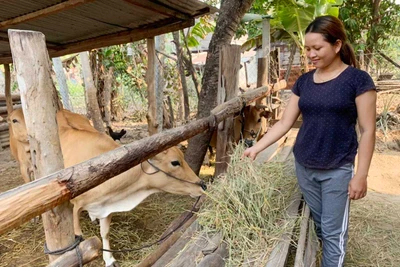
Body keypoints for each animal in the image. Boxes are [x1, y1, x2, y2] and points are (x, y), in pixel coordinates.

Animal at [9, 109, 206, 267]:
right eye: (175, 162)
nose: (202, 185)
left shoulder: (106, 206)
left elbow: (105, 233)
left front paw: (109, 259)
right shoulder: (76, 207)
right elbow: (78, 238)